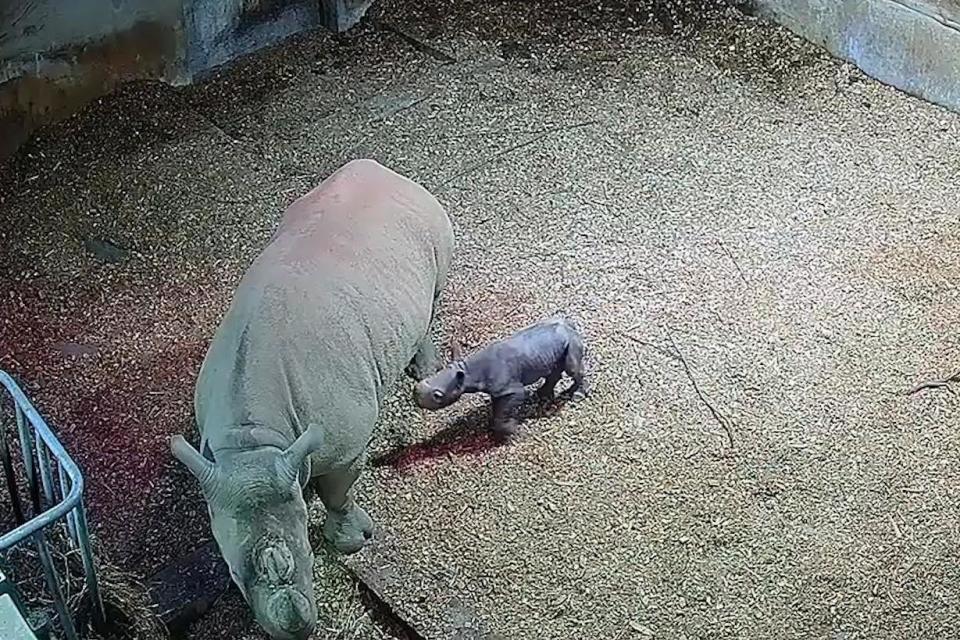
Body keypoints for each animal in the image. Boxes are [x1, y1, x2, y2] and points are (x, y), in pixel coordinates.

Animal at [172, 158, 454, 636]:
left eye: (306, 552)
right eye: (233, 576)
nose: (298, 630)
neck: (253, 443)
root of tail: (379, 168)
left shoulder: (345, 445)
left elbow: (339, 490)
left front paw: (352, 542)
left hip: (431, 219)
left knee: (435, 291)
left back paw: (424, 370)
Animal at [416, 318, 588, 438]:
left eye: (438, 395)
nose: (415, 392)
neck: (467, 371)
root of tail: (569, 325)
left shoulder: (511, 389)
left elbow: (506, 408)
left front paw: (512, 431)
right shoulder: (497, 390)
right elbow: (498, 407)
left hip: (571, 340)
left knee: (572, 368)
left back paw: (577, 395)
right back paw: (543, 394)